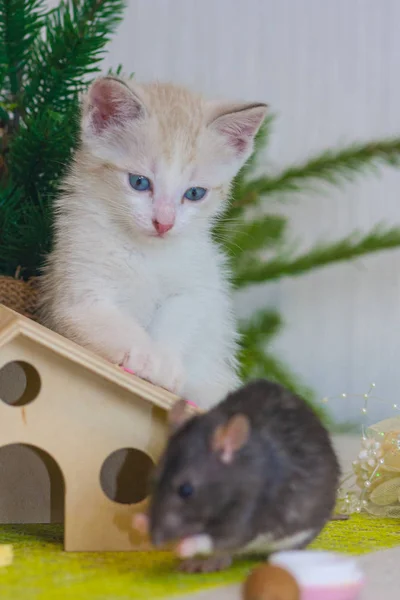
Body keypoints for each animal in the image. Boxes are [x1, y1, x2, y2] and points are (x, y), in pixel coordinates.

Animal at [39, 77, 268, 408]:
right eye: (139, 182)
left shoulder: (198, 285)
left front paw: (165, 363)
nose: (164, 222)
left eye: (195, 193)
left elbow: (179, 316)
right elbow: (111, 322)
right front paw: (146, 356)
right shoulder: (77, 292)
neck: (146, 252)